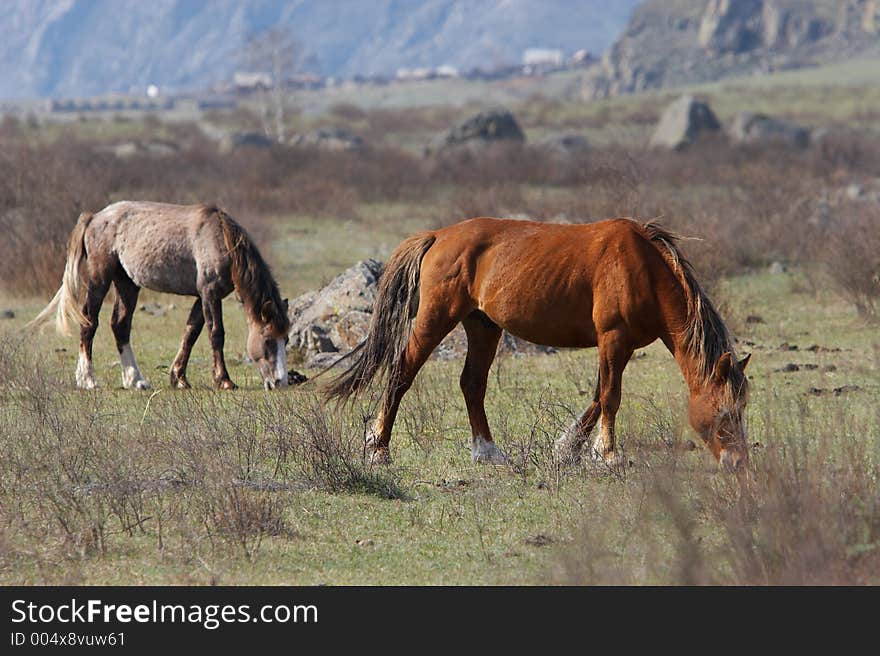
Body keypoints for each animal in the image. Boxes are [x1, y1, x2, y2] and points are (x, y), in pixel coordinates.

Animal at [31, 201, 290, 390]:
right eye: (268, 340)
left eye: (286, 340)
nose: (280, 382)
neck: (220, 238)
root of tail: (94, 217)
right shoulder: (209, 293)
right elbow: (215, 334)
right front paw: (224, 380)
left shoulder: (201, 296)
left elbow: (190, 333)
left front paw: (179, 378)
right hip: (99, 278)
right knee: (89, 322)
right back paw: (88, 380)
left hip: (127, 283)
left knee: (120, 326)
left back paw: (135, 379)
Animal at [326, 219, 752, 472]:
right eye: (725, 413)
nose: (737, 462)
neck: (642, 267)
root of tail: (438, 237)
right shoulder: (612, 338)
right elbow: (610, 396)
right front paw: (608, 454)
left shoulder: (624, 345)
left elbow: (598, 395)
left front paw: (569, 448)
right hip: (435, 319)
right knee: (401, 373)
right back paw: (378, 448)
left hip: (483, 327)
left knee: (472, 384)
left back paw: (488, 452)